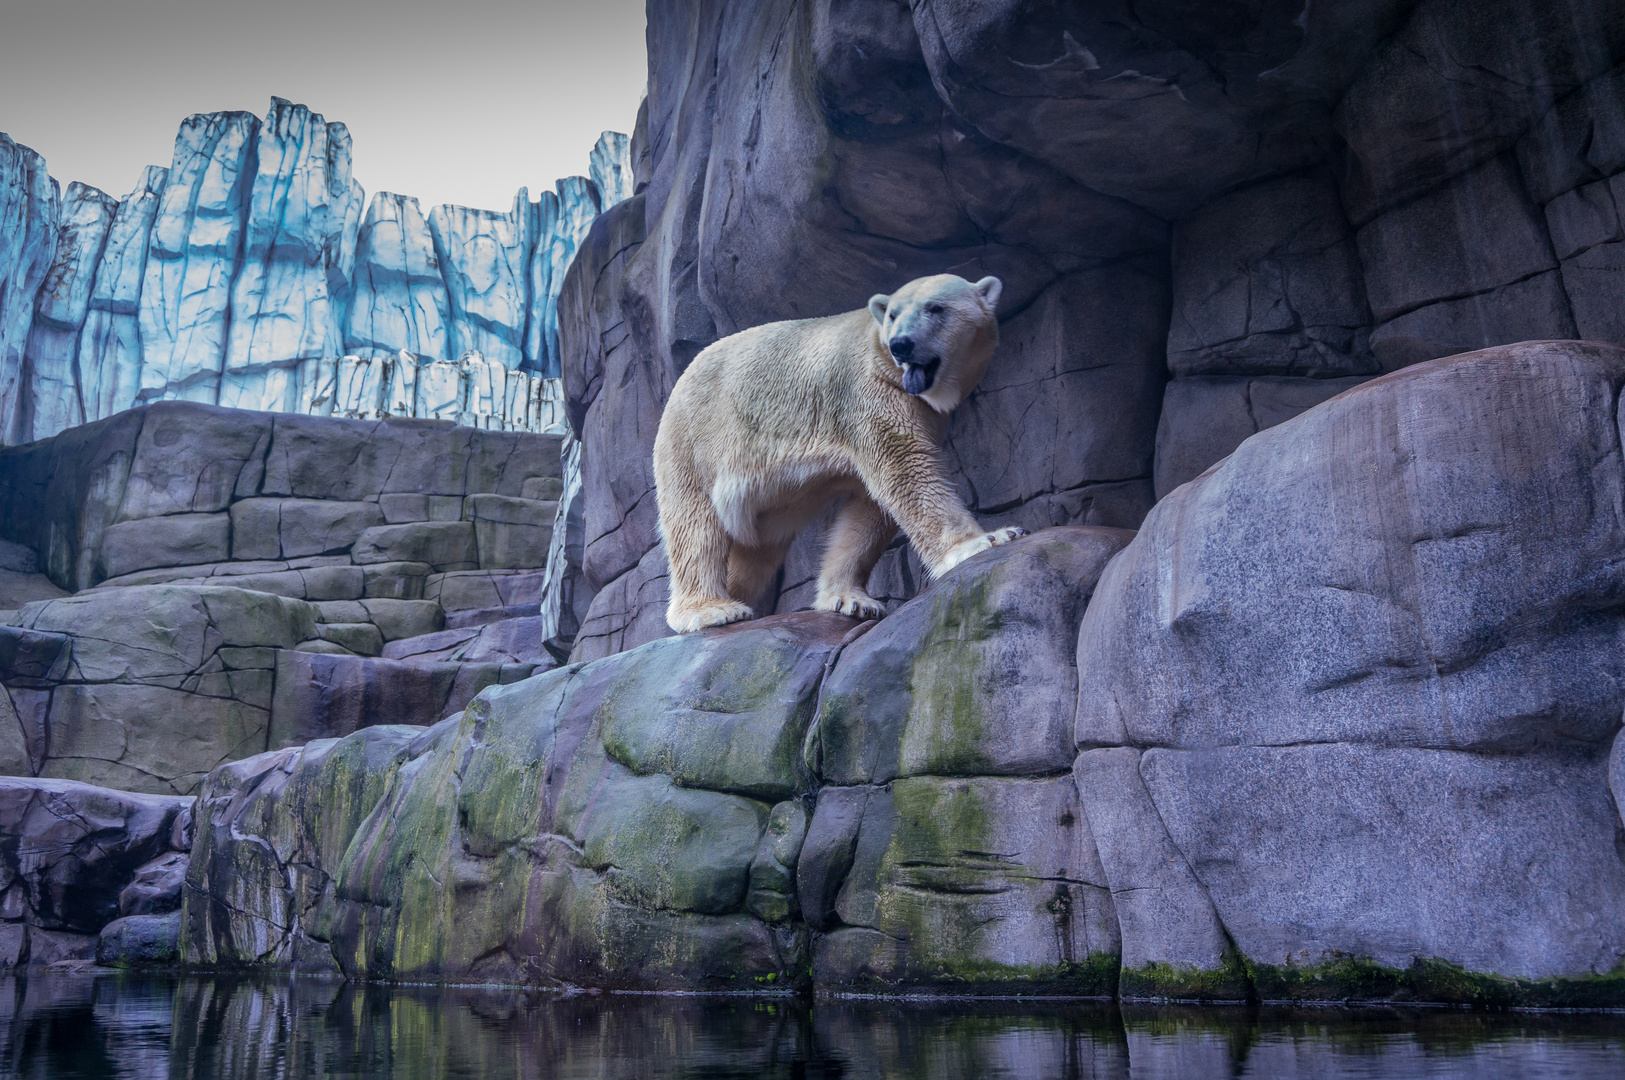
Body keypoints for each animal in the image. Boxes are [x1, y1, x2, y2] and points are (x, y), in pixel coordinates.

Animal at [650, 269, 1020, 636]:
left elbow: (868, 510)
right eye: (893, 314)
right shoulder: (869, 393)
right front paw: (988, 538)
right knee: (695, 524)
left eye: (936, 308)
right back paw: (712, 609)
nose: (901, 344)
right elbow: (906, 471)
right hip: (696, 440)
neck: (881, 358)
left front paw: (852, 600)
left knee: (759, 548)